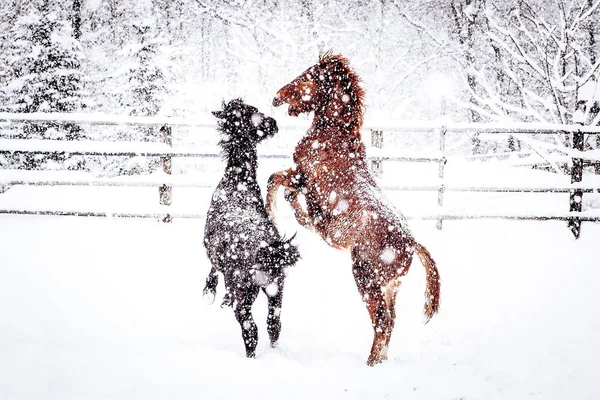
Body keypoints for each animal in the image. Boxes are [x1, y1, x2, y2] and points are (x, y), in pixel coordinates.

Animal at [268, 52, 440, 366]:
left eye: (309, 75)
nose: (277, 97)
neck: (332, 138)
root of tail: (412, 245)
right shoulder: (301, 181)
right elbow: (290, 196)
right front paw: (305, 219)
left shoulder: (301, 175)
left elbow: (275, 180)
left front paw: (273, 213)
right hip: (390, 287)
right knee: (391, 321)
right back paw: (380, 362)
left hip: (366, 279)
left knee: (382, 321)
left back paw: (370, 364)